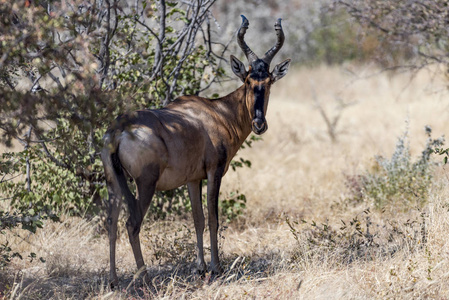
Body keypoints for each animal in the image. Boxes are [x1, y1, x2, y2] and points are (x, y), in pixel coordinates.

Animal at [101, 14, 290, 286]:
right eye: (248, 80)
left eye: (269, 81)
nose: (259, 124)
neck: (216, 112)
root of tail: (119, 129)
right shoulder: (214, 171)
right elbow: (213, 218)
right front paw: (216, 267)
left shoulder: (192, 179)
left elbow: (197, 219)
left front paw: (199, 267)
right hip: (145, 183)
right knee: (132, 223)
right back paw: (145, 278)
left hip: (113, 182)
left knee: (111, 222)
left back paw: (114, 280)